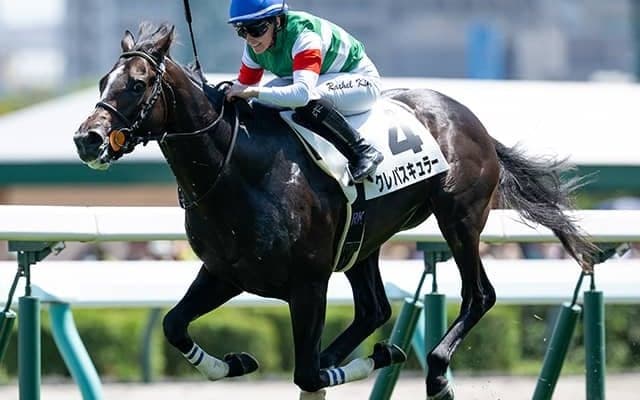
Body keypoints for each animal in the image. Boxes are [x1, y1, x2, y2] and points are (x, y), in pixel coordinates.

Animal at [73, 23, 597, 400]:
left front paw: (369, 359)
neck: (237, 168)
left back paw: (434, 372)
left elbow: (306, 373)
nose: (87, 138)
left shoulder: (308, 283)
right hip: (364, 239)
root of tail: (473, 121)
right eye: (102, 81)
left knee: (479, 295)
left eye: (137, 84)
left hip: (459, 218)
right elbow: (173, 324)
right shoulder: (225, 272)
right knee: (374, 308)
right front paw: (234, 362)